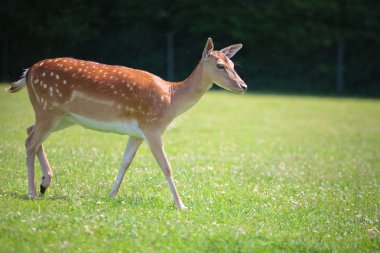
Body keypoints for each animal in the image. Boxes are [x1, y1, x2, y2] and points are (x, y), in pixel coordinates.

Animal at [8, 37, 249, 208]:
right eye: (220, 65)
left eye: (233, 63)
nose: (243, 86)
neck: (171, 99)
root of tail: (28, 72)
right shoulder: (152, 127)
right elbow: (166, 166)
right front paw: (181, 204)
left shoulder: (136, 133)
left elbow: (125, 162)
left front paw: (112, 194)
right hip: (48, 109)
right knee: (30, 141)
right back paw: (32, 191)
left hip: (61, 117)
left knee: (29, 131)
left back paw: (44, 183)